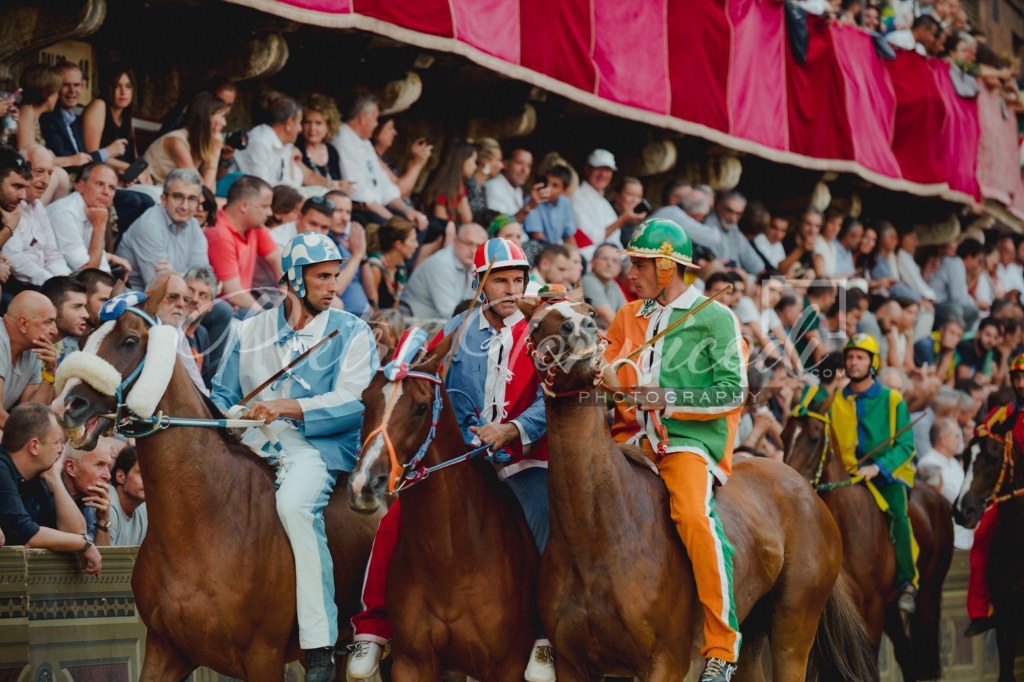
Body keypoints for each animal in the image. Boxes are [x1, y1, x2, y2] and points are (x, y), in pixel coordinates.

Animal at [54, 278, 380, 679]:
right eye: (84, 339)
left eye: (129, 340)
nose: (69, 405)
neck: (203, 522)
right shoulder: (165, 649)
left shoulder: (264, 658)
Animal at [348, 329, 540, 679]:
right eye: (365, 400)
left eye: (422, 407)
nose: (364, 483)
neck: (451, 560)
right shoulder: (413, 663)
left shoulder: (507, 665)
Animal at [524, 296, 876, 679]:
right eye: (538, 324)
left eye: (589, 312)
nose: (580, 328)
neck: (597, 536)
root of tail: (807, 490)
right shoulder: (573, 663)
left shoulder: (665, 661)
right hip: (752, 627)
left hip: (794, 626)